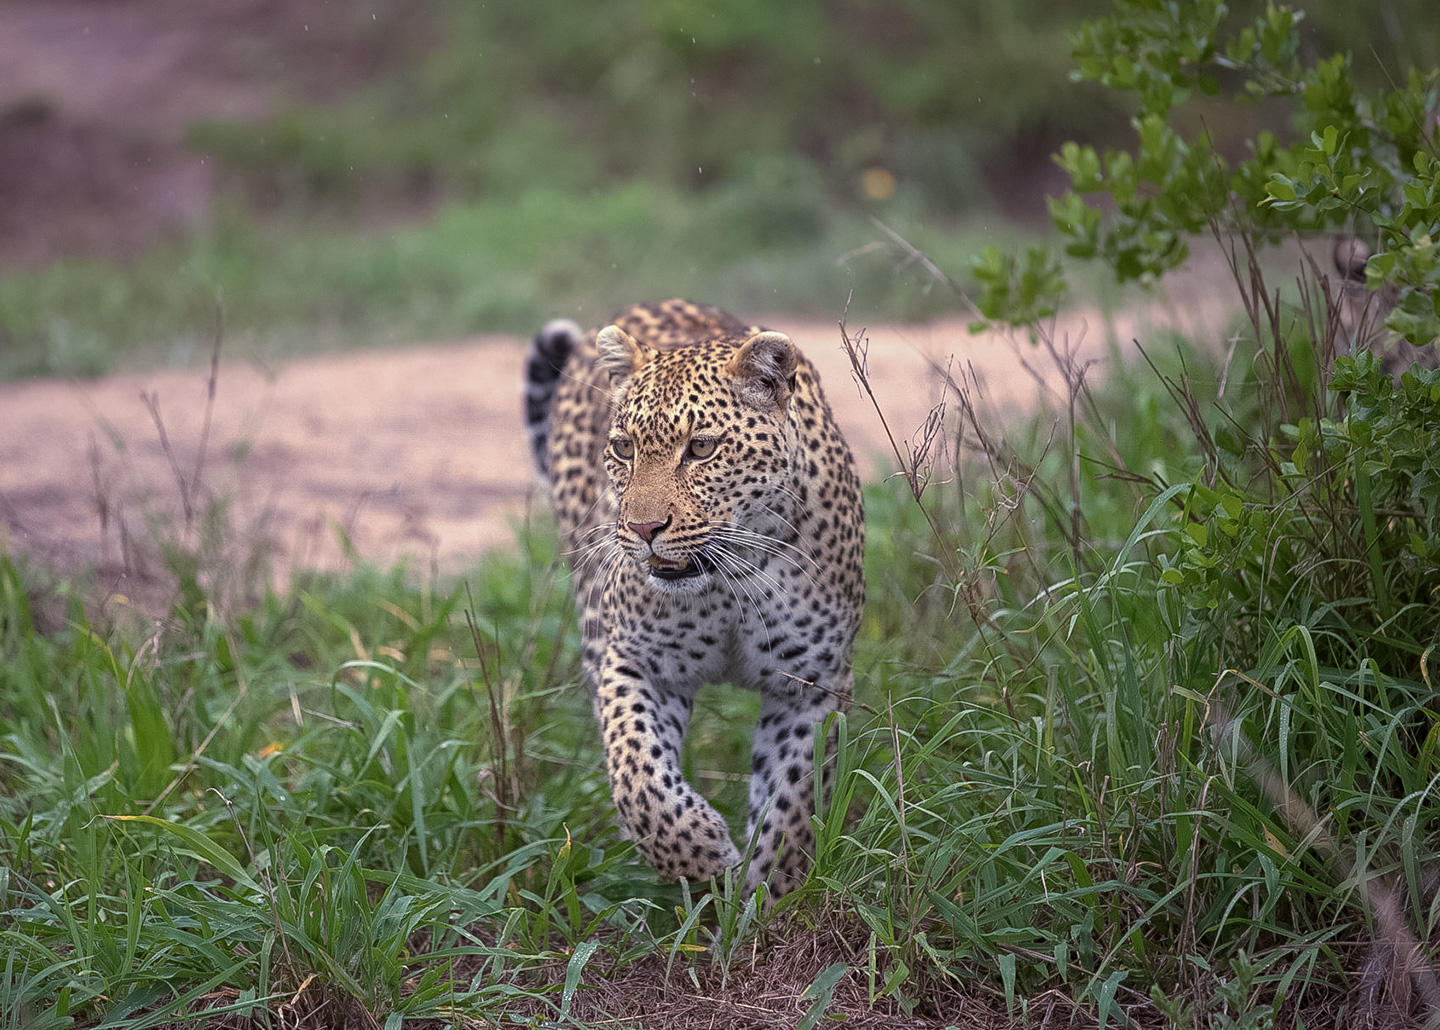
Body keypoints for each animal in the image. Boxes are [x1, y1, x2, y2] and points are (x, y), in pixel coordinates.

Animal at [522, 299, 865, 898]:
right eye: (624, 448)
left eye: (701, 448)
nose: (643, 528)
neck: (727, 581)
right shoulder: (636, 662)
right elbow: (638, 773)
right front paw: (701, 857)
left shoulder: (813, 684)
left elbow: (792, 803)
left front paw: (764, 897)